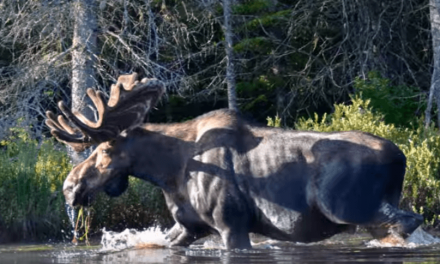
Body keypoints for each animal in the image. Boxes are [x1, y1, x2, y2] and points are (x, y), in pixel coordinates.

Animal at [44, 72, 422, 250]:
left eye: (104, 151)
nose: (69, 187)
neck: (168, 174)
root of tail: (402, 156)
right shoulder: (190, 226)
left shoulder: (231, 224)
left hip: (349, 207)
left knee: (410, 220)